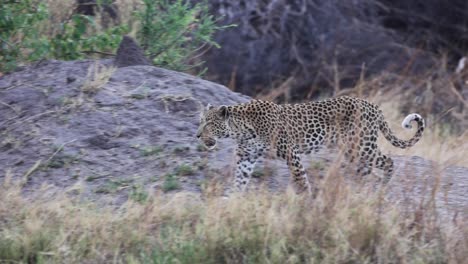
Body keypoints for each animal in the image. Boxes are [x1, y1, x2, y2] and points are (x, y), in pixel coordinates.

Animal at [196, 96, 426, 194]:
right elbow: (240, 180)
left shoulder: (291, 153)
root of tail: (373, 106)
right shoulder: (247, 157)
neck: (240, 128)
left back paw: (382, 188)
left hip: (361, 146)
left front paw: (306, 200)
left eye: (209, 124)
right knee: (367, 169)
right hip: (352, 151)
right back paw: (361, 188)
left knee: (388, 161)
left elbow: (301, 179)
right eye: (200, 121)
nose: (198, 135)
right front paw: (233, 199)